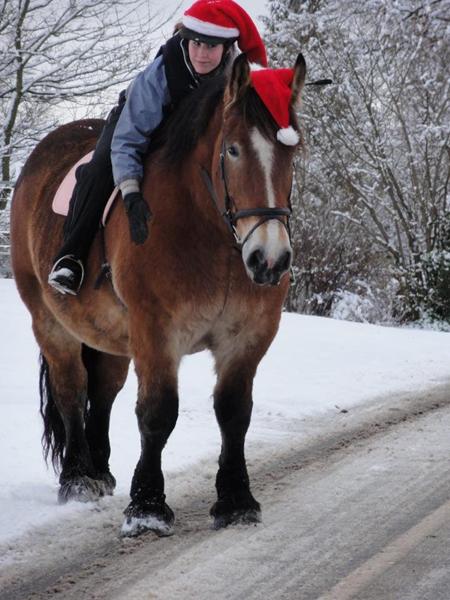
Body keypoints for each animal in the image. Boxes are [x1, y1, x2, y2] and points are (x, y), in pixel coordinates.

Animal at [9, 54, 306, 536]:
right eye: (232, 150)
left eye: (292, 152)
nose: (270, 259)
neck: (212, 234)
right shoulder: (157, 332)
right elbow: (157, 413)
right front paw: (147, 506)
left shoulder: (248, 335)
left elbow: (234, 411)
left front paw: (236, 500)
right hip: (50, 322)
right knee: (71, 388)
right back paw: (78, 478)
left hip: (111, 336)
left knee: (103, 390)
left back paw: (100, 470)